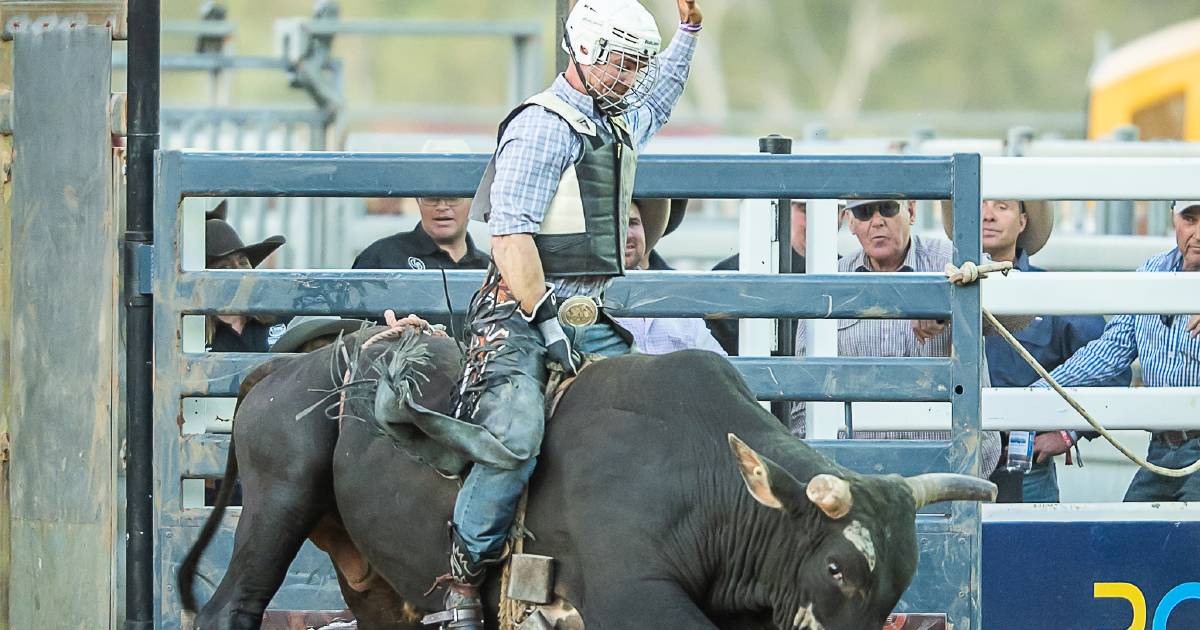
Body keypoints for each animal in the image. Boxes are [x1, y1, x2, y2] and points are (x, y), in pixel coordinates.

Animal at [177, 326, 993, 624]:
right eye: (834, 567)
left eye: (898, 582)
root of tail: (288, 368)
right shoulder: (631, 596)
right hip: (277, 503)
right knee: (229, 608)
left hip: (370, 574)